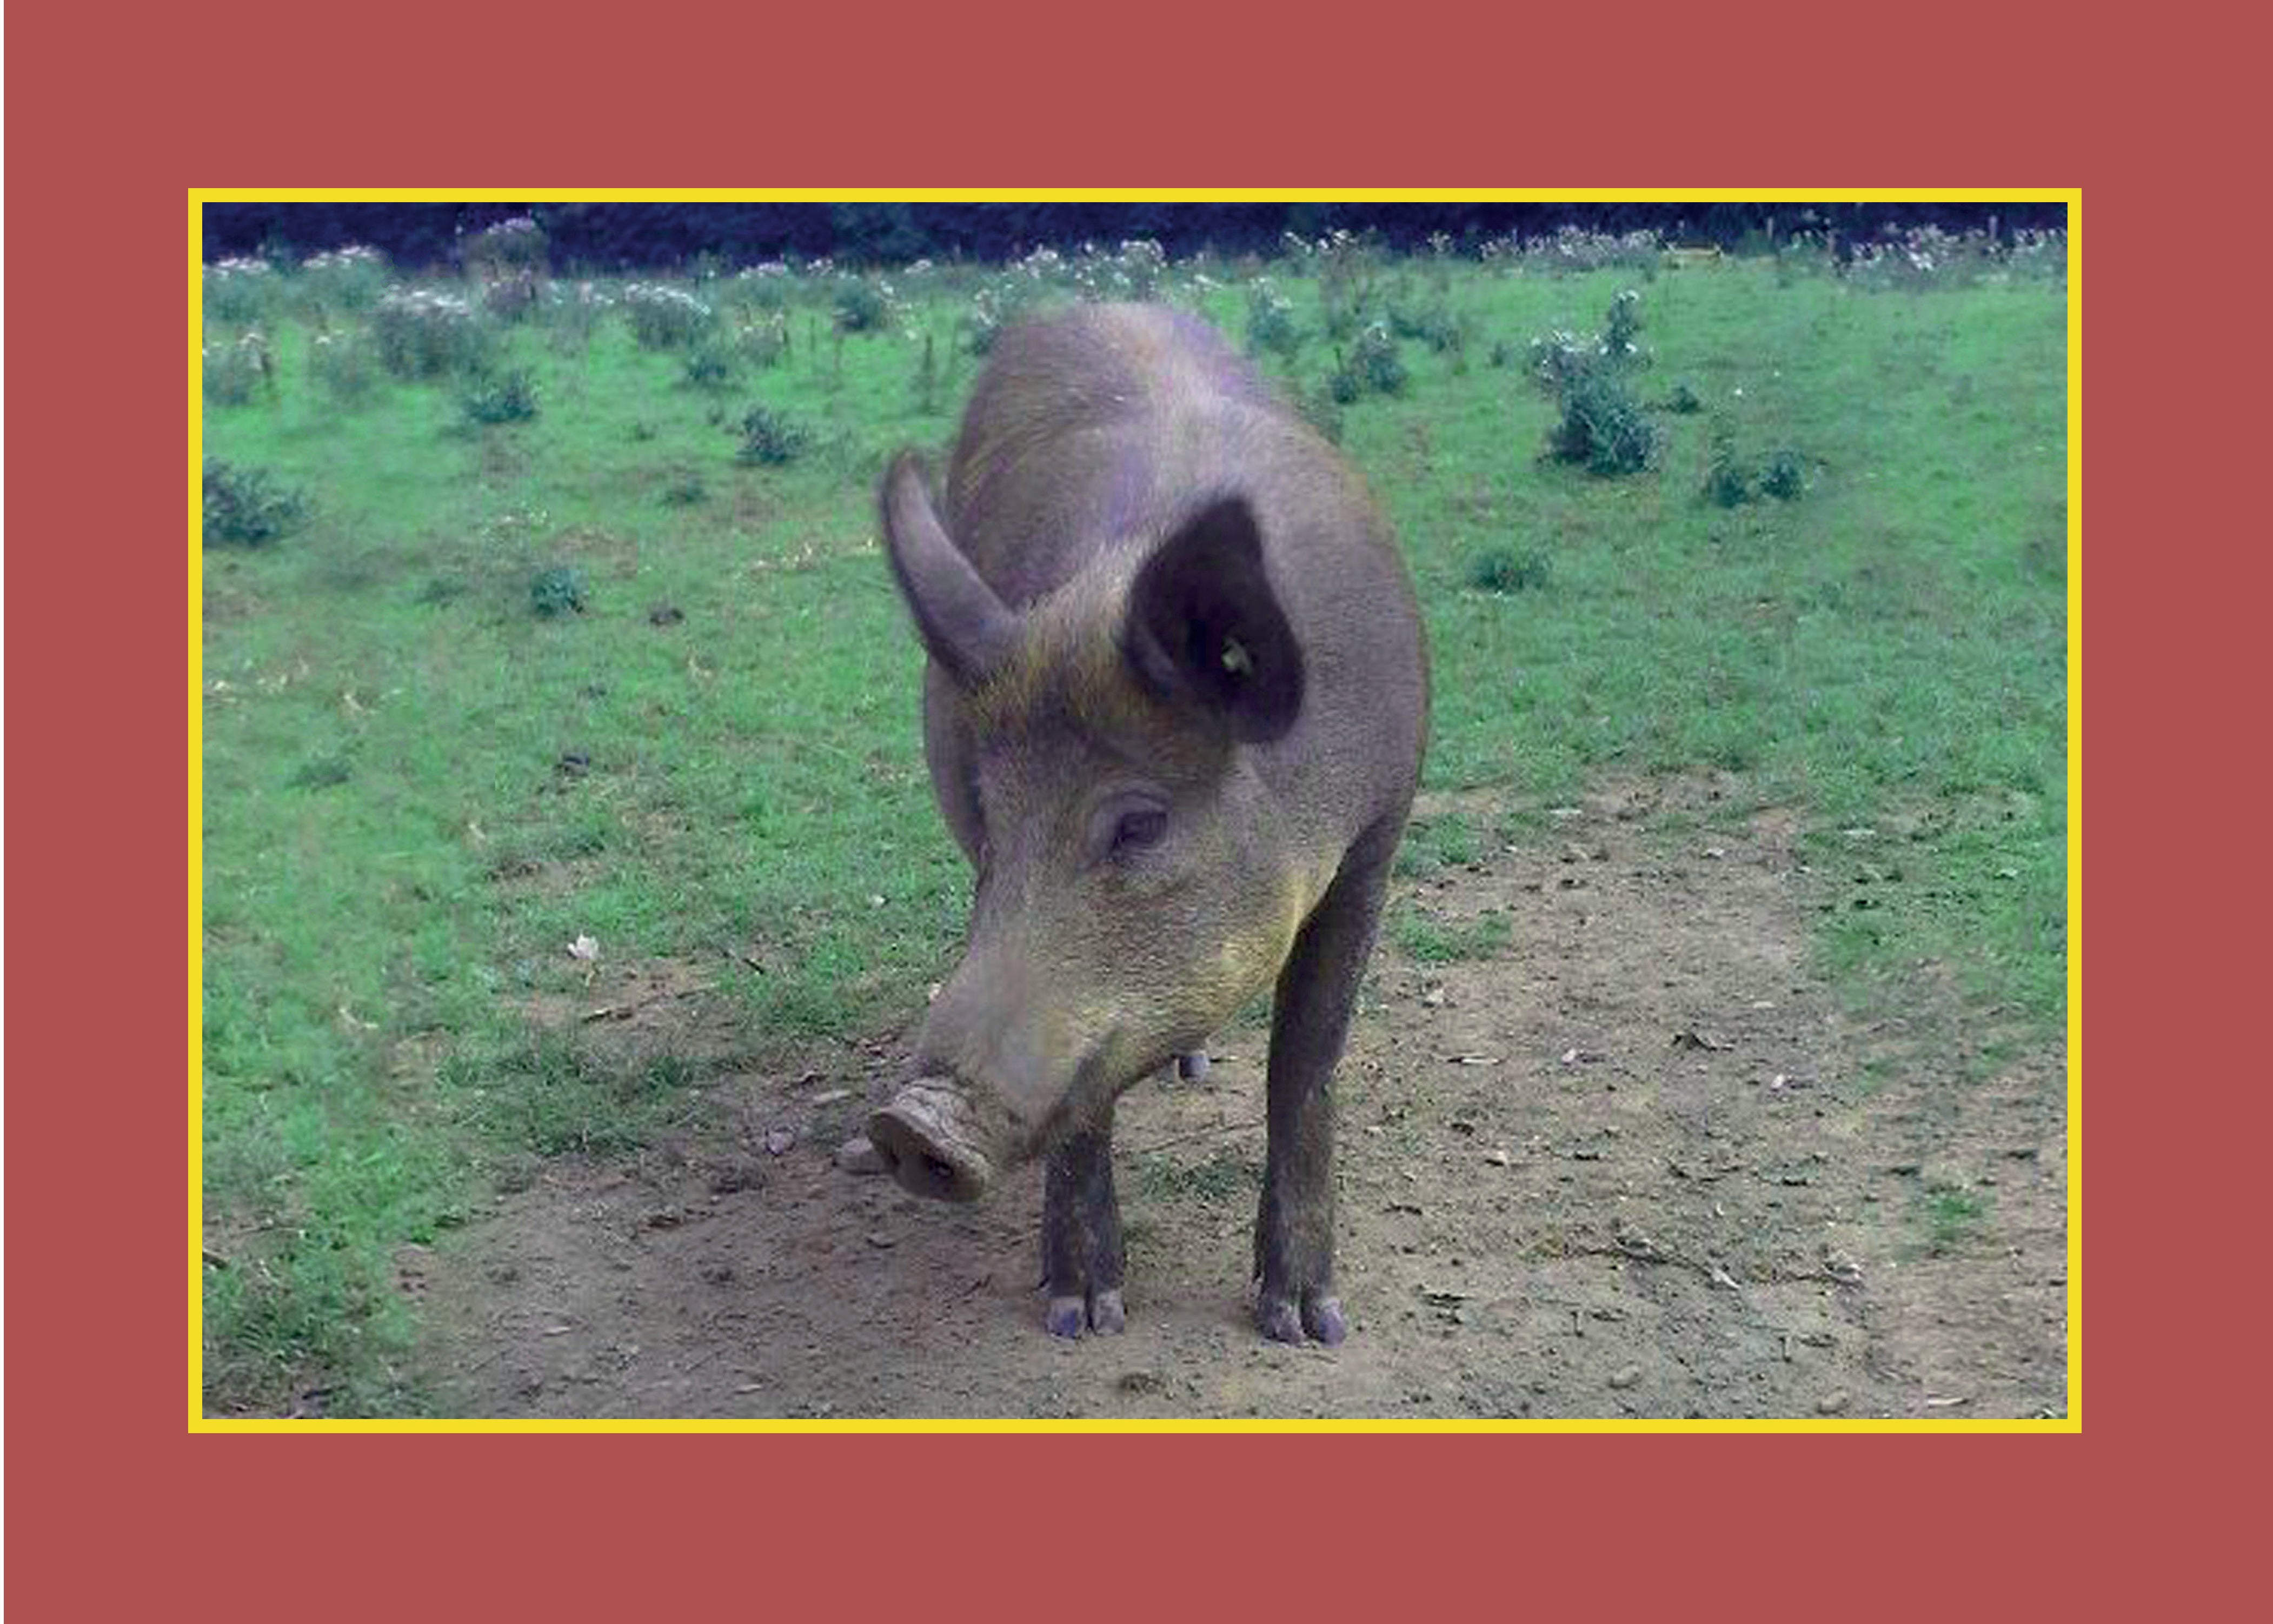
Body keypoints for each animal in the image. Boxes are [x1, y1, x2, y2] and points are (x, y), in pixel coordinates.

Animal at [865, 303, 1428, 1345]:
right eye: (995, 829)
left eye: (1138, 826)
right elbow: (1090, 1100)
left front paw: (1306, 1324)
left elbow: (1306, 1066)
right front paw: (1082, 1314)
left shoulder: (1377, 839)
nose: (910, 1123)